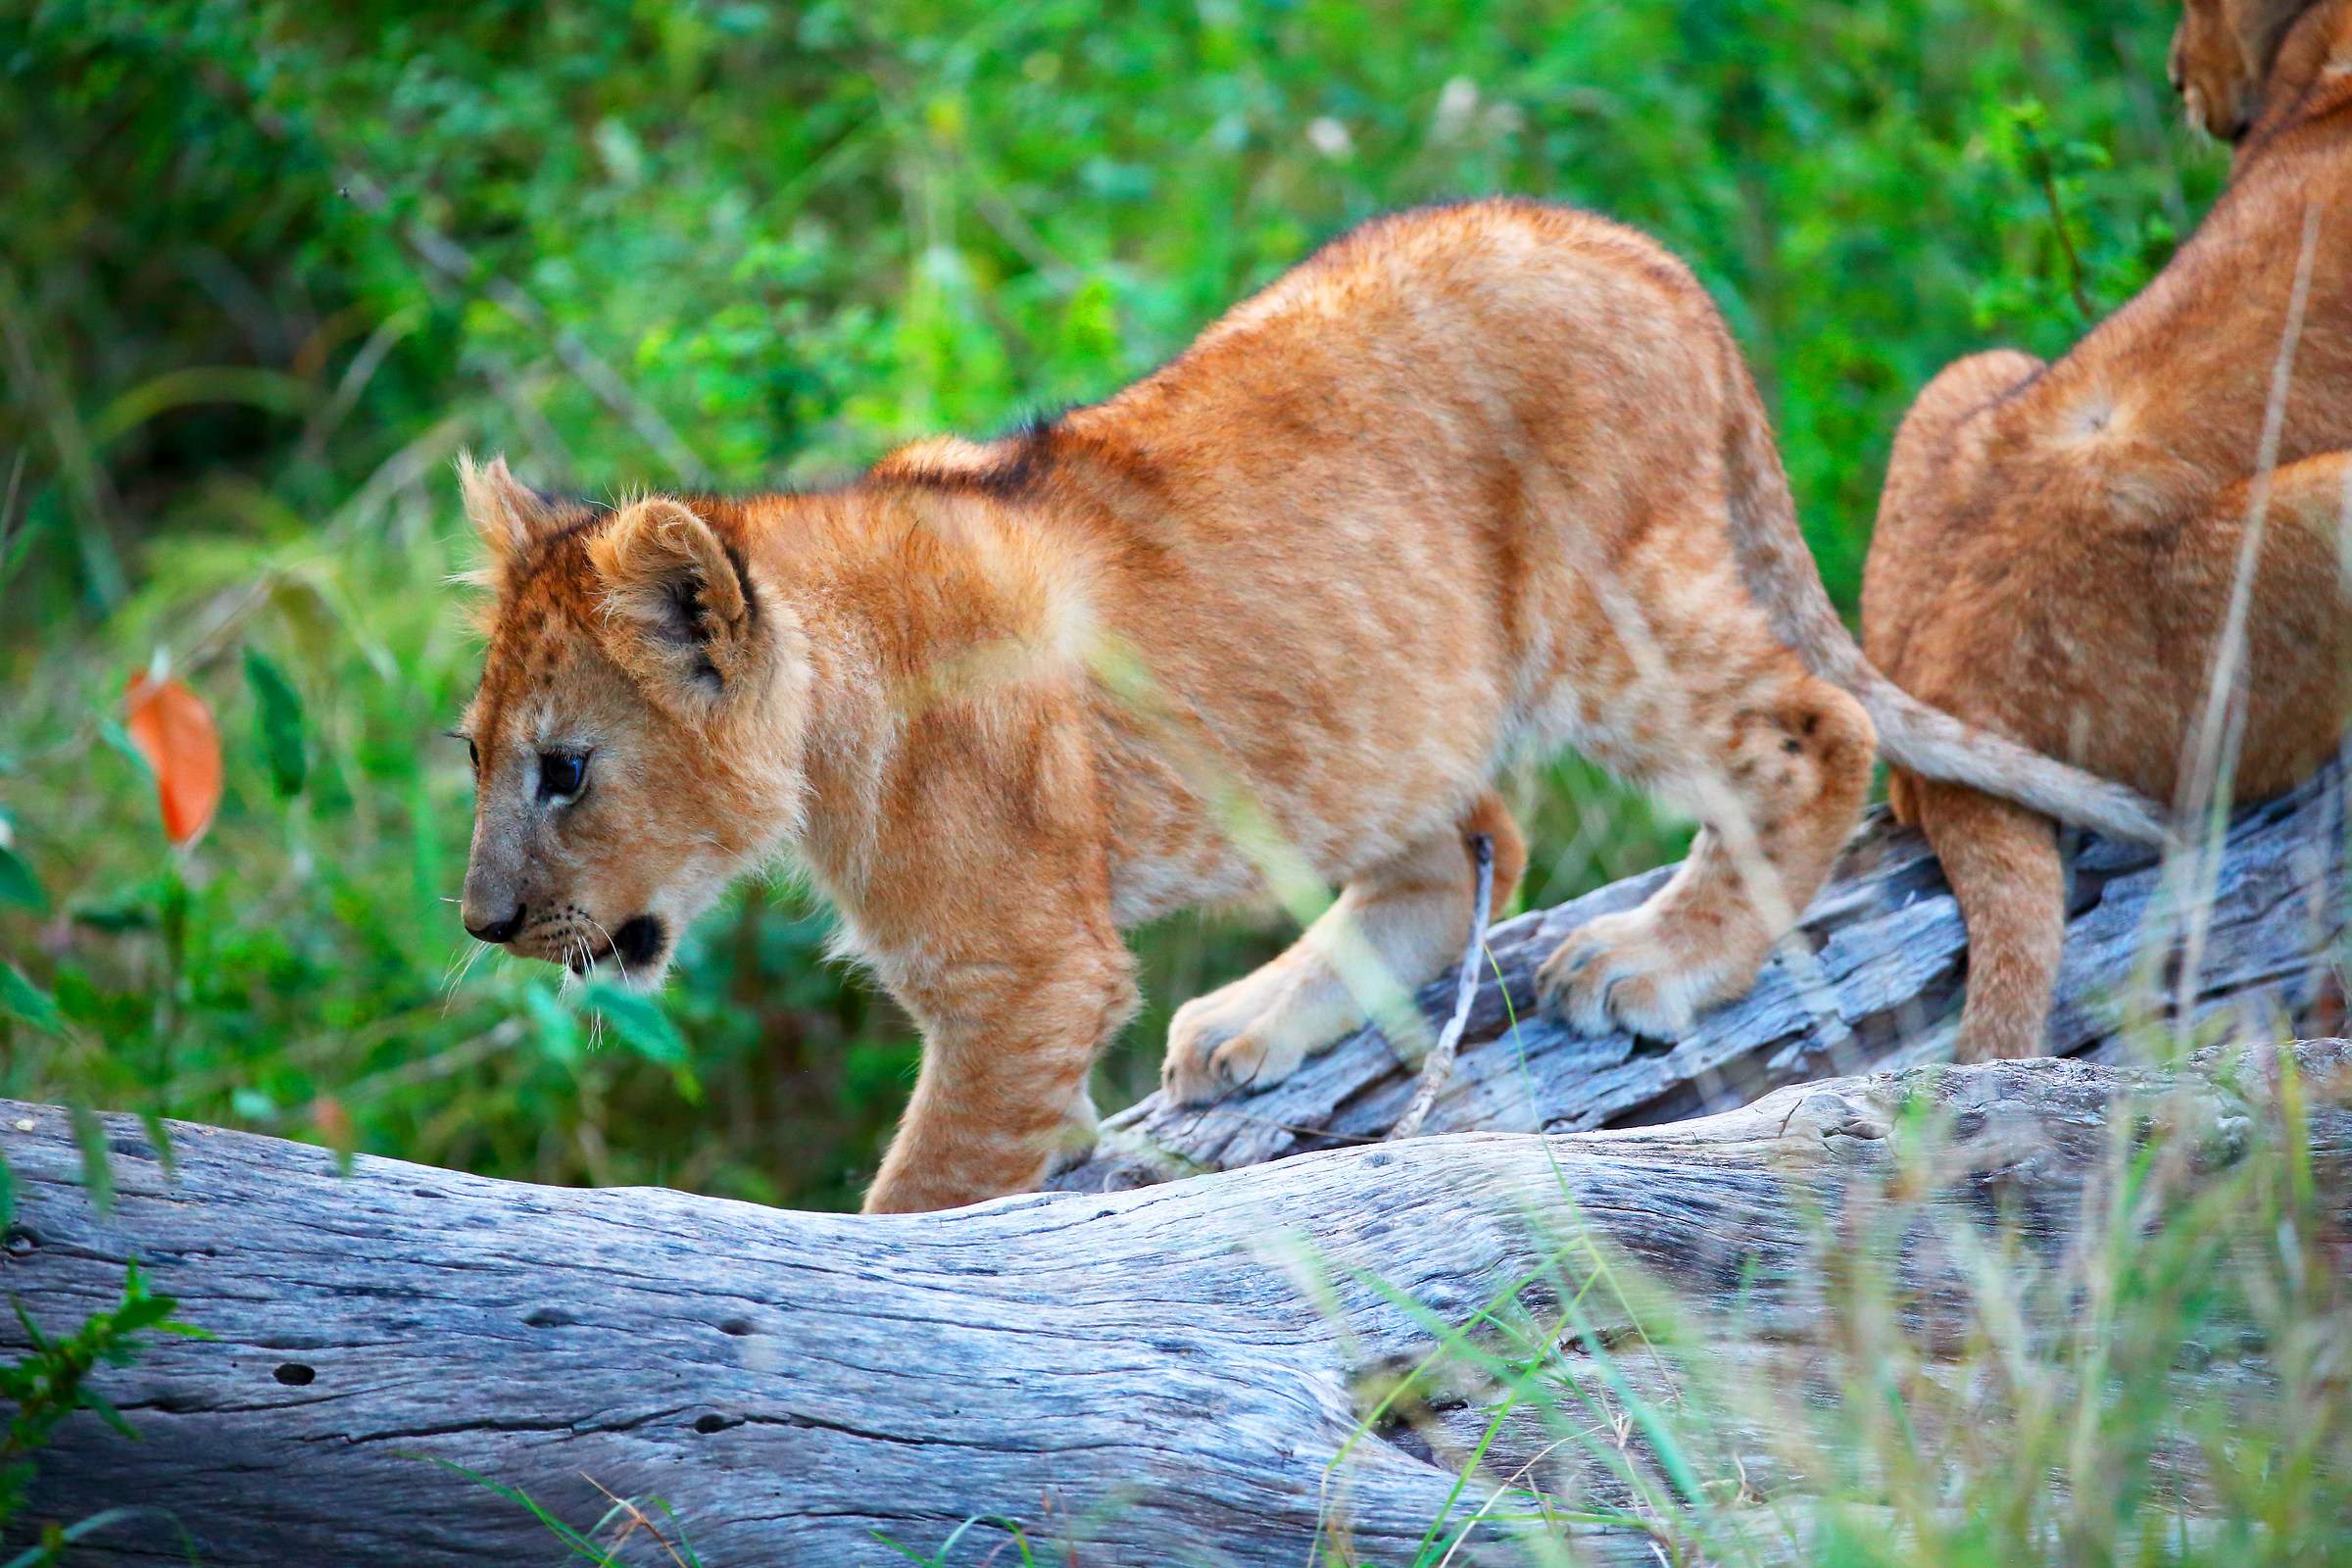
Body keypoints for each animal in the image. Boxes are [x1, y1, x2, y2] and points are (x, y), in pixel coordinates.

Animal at [456, 198, 2158, 1213]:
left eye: (564, 772)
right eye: (477, 758)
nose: (483, 925)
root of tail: (1636, 251)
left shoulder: (1025, 975)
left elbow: (924, 1205)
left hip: (1608, 613)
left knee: (1814, 732)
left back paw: (1657, 962)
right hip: (1368, 706)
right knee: (1464, 847)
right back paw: (1252, 1022)